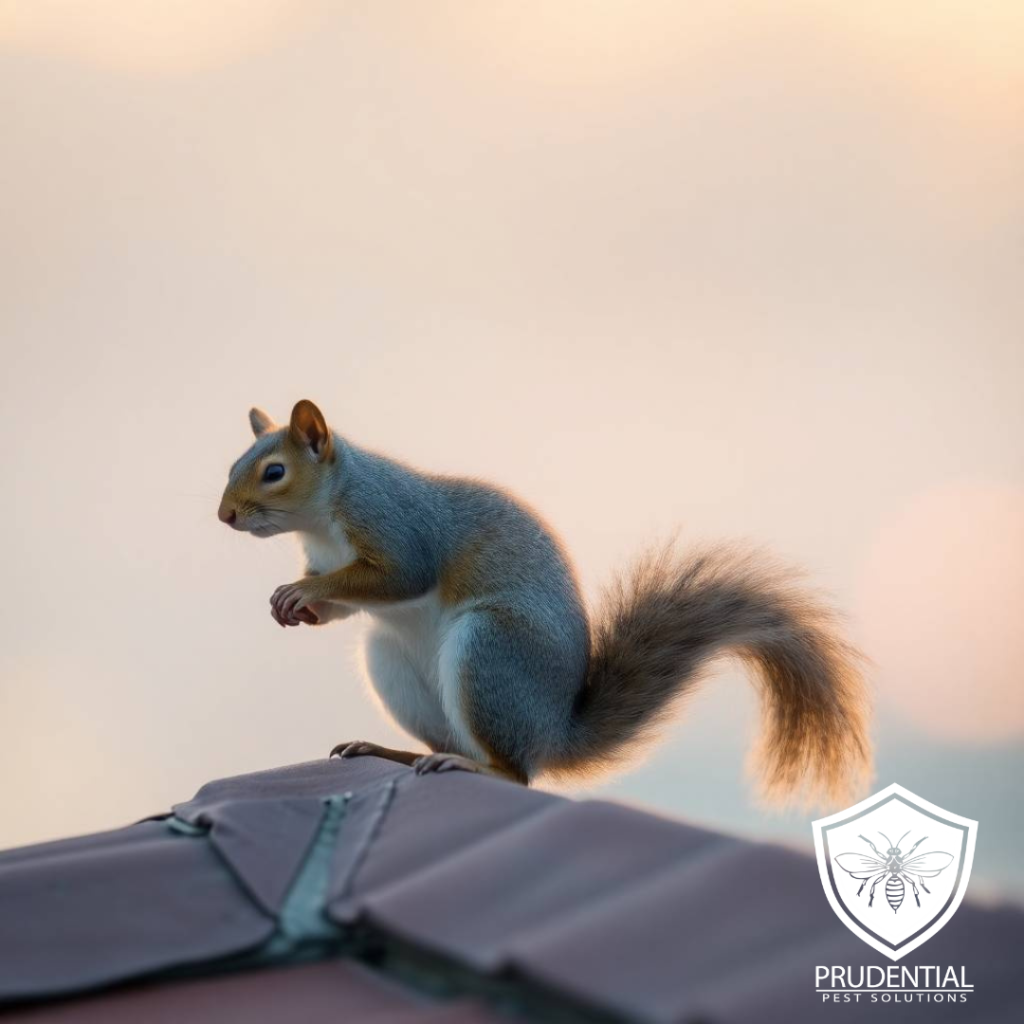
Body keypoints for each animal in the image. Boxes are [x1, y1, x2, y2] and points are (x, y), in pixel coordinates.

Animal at [218, 399, 871, 804]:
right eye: (232, 465)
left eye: (273, 471)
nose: (225, 516)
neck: (321, 522)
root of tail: (552, 727)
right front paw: (297, 606)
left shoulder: (400, 529)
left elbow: (398, 577)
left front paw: (300, 593)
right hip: (395, 664)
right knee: (453, 745)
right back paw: (391, 752)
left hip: (490, 651)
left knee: (514, 775)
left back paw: (471, 765)